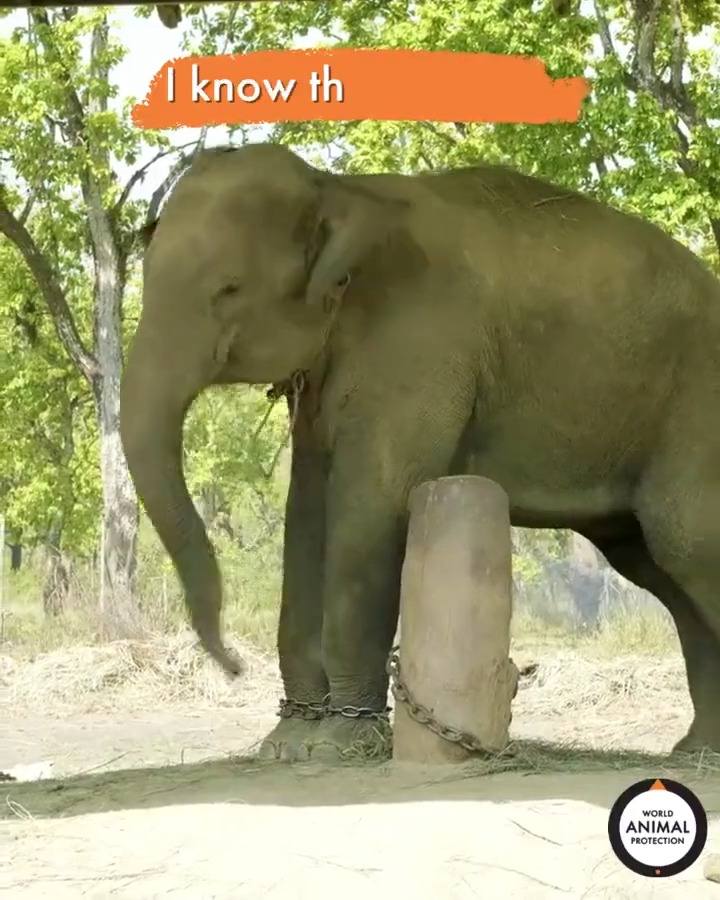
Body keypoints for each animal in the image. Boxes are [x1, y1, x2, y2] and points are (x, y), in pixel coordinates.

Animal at [120, 141, 720, 761]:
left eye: (230, 289)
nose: (233, 664)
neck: (337, 187)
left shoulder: (421, 343)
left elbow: (370, 505)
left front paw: (340, 741)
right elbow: (305, 511)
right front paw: (289, 744)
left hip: (697, 403)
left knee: (687, 541)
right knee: (659, 566)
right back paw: (697, 750)